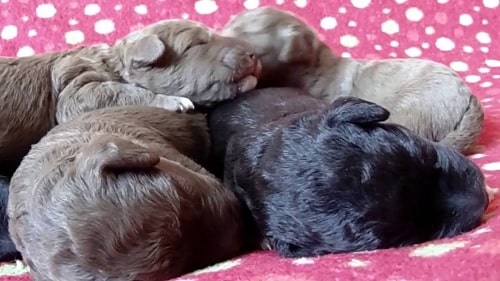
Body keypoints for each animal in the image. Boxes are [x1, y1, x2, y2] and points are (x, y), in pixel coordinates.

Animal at [0, 18, 262, 177]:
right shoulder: (74, 85)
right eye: (195, 44)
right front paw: (174, 102)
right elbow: (116, 91)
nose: (254, 53)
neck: (113, 63)